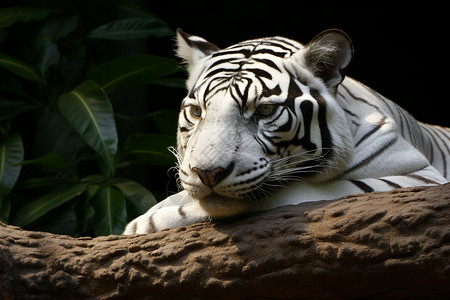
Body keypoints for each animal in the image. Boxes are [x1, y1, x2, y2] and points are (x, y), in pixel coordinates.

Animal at [122, 28, 446, 234]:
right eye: (197, 112)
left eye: (264, 111)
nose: (207, 174)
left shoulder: (421, 177)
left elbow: (283, 194)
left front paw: (143, 224)